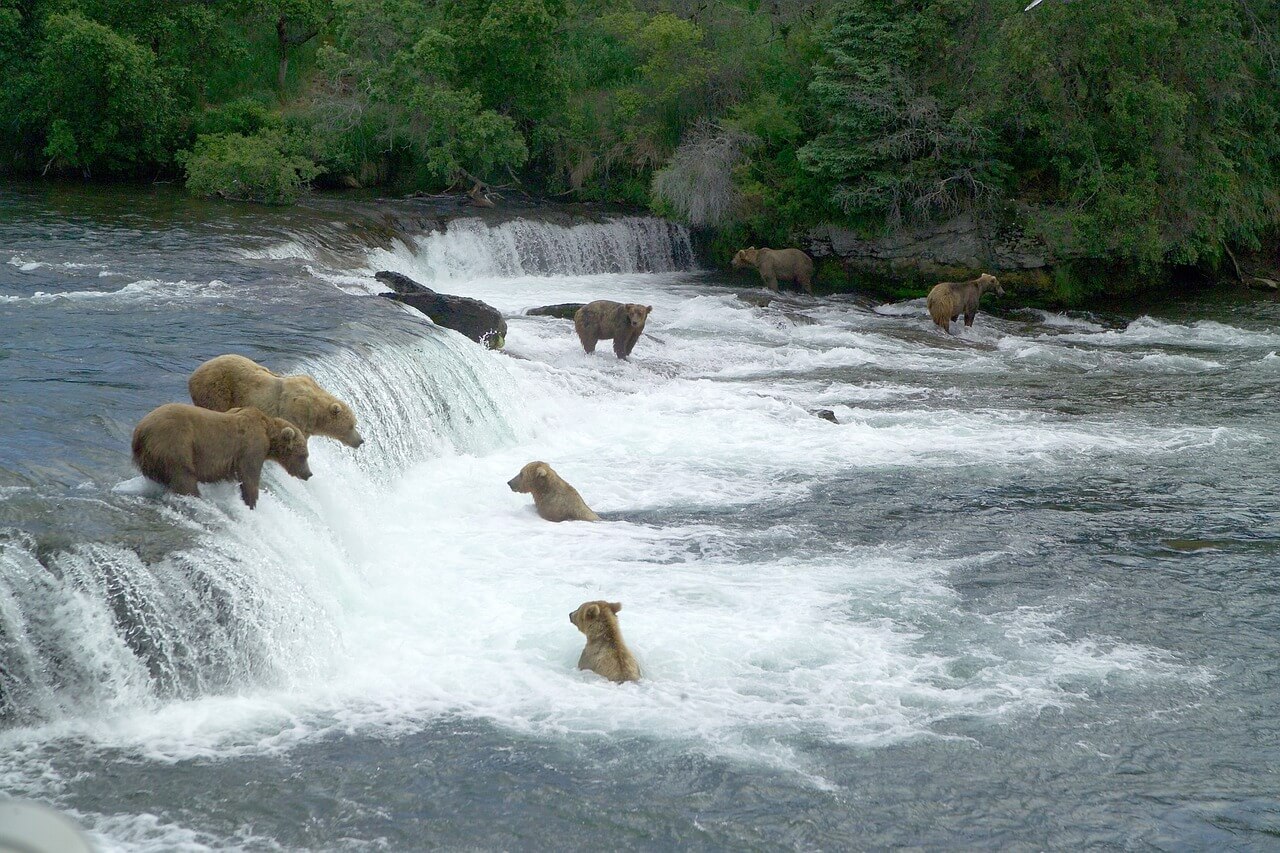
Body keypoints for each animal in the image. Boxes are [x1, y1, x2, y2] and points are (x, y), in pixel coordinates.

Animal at [131, 403, 312, 509]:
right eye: (304, 455)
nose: (308, 474)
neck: (268, 433)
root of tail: (140, 431)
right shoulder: (251, 447)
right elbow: (249, 476)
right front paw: (251, 501)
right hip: (175, 443)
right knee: (184, 477)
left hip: (151, 458)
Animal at [188, 354, 363, 448]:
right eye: (351, 425)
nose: (361, 440)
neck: (315, 415)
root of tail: (195, 372)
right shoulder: (295, 414)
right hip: (217, 389)